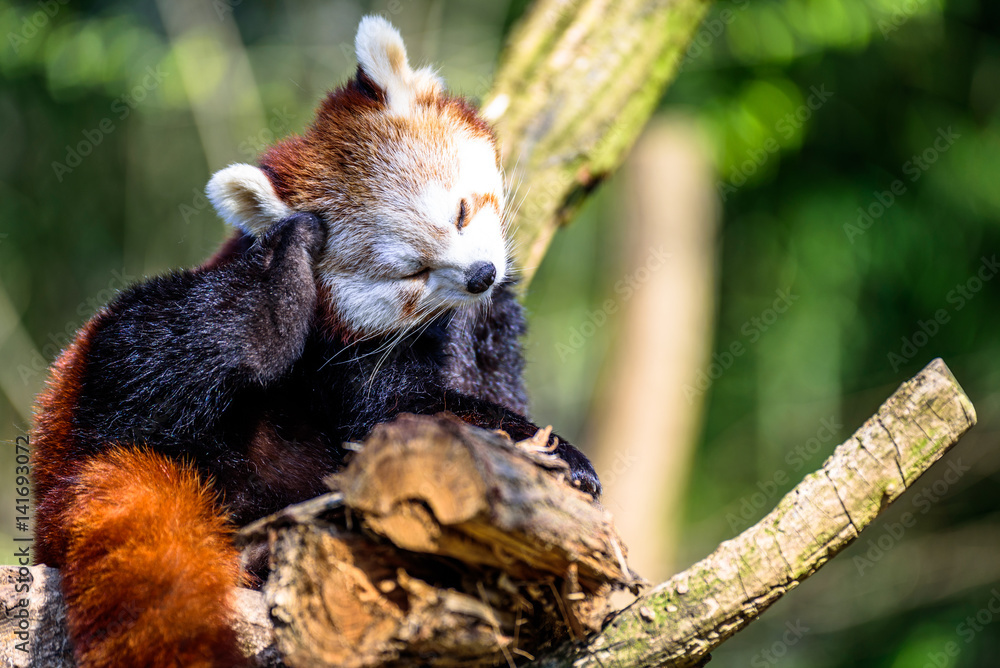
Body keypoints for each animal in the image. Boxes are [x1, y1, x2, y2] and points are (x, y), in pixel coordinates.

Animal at [31, 15, 599, 668]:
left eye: (461, 212)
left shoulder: (493, 330)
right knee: (152, 338)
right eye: (410, 272)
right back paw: (273, 310)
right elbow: (396, 415)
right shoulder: (343, 358)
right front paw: (560, 460)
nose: (480, 275)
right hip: (98, 370)